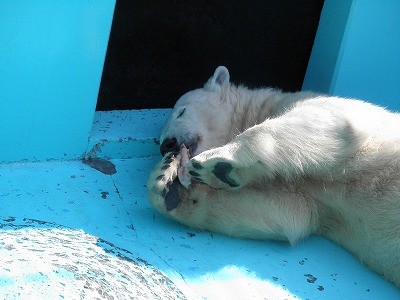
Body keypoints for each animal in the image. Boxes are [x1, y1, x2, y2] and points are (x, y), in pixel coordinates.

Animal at [148, 66, 400, 288]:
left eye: (182, 111)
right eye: (159, 139)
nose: (167, 145)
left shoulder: (333, 107)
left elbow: (326, 118)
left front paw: (214, 162)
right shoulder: (315, 200)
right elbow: (288, 210)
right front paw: (169, 184)